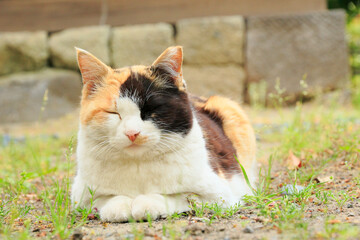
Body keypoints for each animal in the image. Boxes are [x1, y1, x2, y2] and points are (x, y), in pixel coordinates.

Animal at [71, 46, 256, 222]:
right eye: (113, 112)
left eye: (150, 110)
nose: (132, 133)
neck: (138, 165)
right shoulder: (80, 195)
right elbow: (103, 199)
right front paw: (118, 206)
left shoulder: (219, 195)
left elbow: (179, 196)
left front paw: (146, 204)